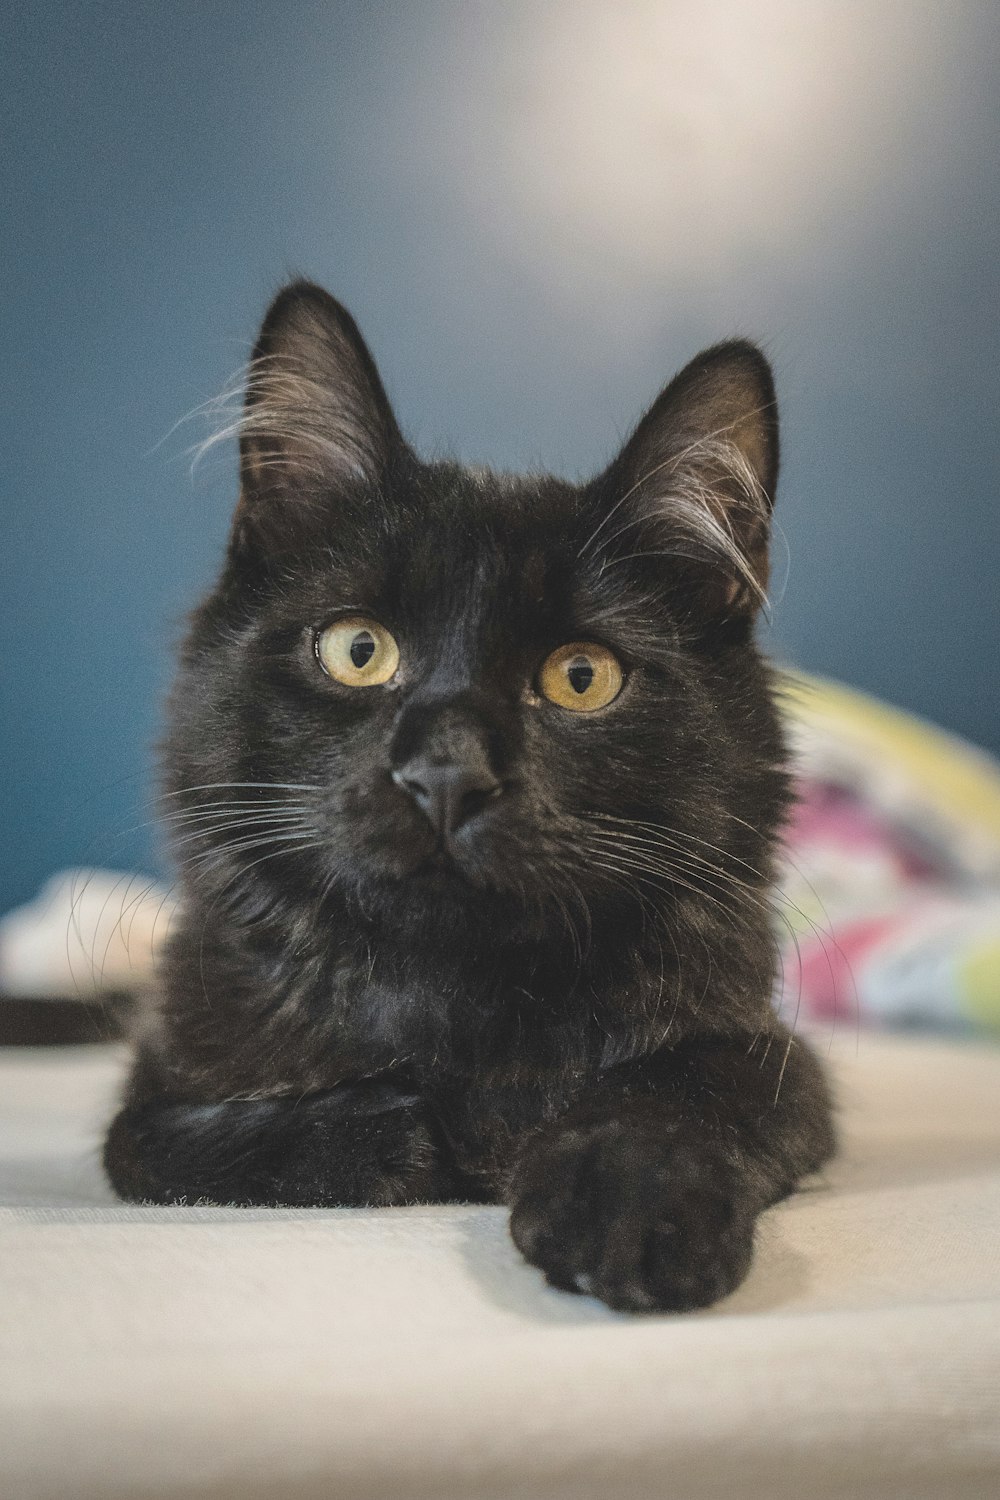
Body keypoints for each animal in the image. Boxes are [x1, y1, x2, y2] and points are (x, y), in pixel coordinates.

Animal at [103, 282, 839, 1314]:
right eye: (358, 650)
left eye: (581, 677)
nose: (446, 773)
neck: (458, 1001)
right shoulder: (158, 1075)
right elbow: (169, 1140)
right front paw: (394, 1131)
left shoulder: (772, 1053)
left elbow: (680, 1090)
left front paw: (629, 1198)